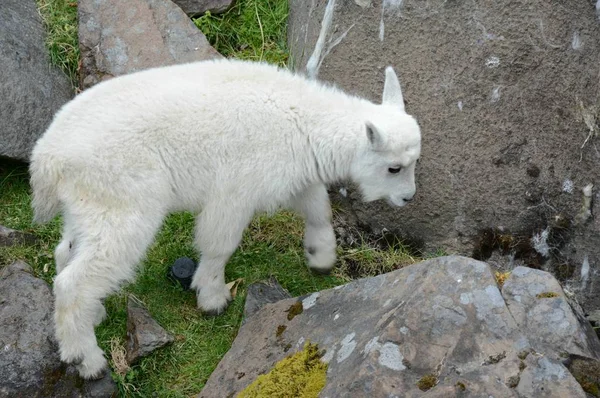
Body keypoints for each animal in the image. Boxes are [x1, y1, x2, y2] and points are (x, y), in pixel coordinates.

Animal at [29, 57, 422, 378]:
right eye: (394, 167)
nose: (407, 197)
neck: (303, 121)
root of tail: (47, 159)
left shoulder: (291, 170)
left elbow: (316, 206)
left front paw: (321, 256)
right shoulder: (238, 184)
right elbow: (220, 241)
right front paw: (213, 297)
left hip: (88, 202)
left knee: (67, 251)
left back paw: (93, 314)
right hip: (121, 196)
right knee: (80, 275)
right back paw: (86, 358)